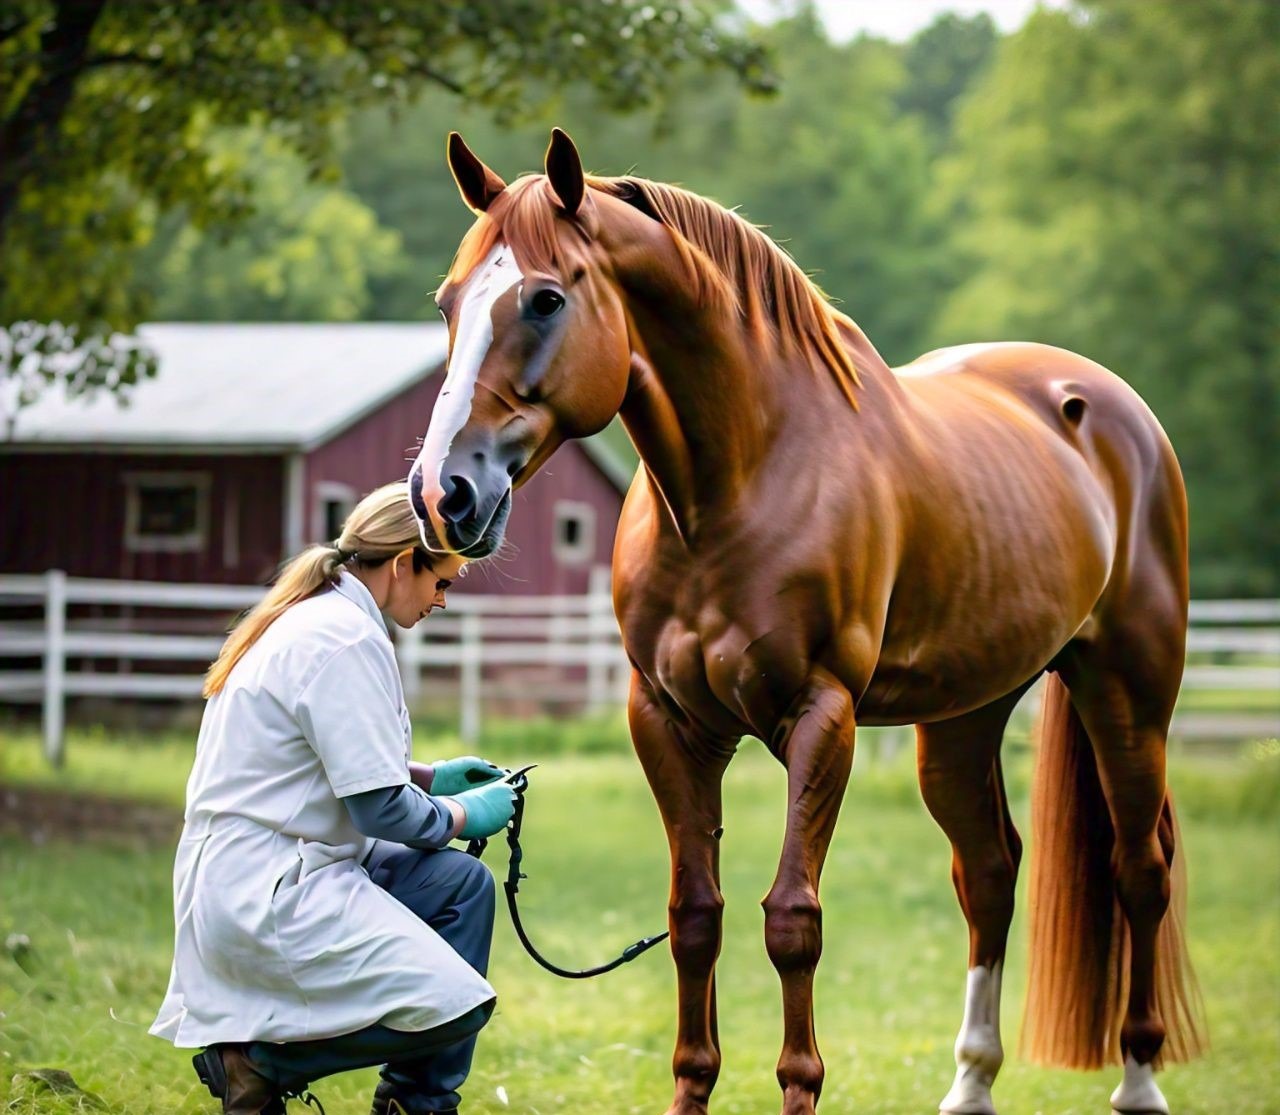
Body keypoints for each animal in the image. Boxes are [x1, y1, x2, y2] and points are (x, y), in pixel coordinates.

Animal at [412, 126, 1208, 1111]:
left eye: (546, 297)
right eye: (449, 304)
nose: (442, 493)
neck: (742, 478)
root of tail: (1115, 409)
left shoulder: (820, 717)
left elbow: (792, 921)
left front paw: (798, 1086)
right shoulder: (668, 722)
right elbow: (695, 915)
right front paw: (691, 1089)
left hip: (1128, 697)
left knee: (1139, 871)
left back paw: (1138, 1080)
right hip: (964, 718)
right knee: (989, 872)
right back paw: (971, 1083)